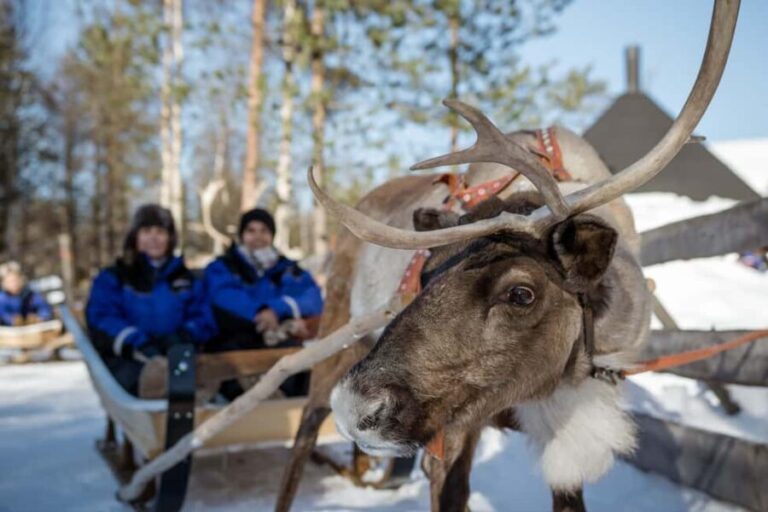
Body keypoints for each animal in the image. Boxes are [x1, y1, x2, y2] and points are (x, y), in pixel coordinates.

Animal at [274, 1, 739, 511]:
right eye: (425, 275)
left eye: (521, 294)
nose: (358, 408)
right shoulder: (451, 434)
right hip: (332, 341)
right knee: (302, 434)